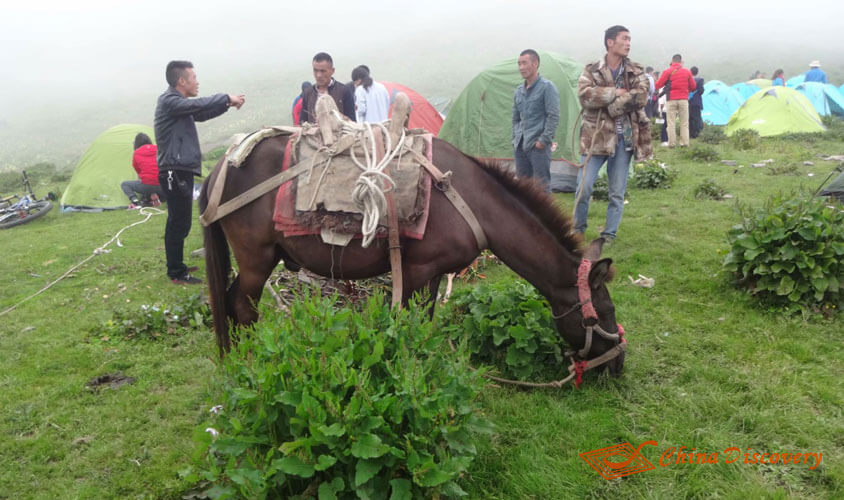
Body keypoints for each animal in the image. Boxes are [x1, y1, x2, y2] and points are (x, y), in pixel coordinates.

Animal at [203, 135, 628, 376]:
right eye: (605, 312)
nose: (618, 364)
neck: (472, 201)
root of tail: (222, 165)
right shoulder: (421, 271)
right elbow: (416, 324)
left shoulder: (429, 275)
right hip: (256, 260)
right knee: (241, 307)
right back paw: (248, 363)